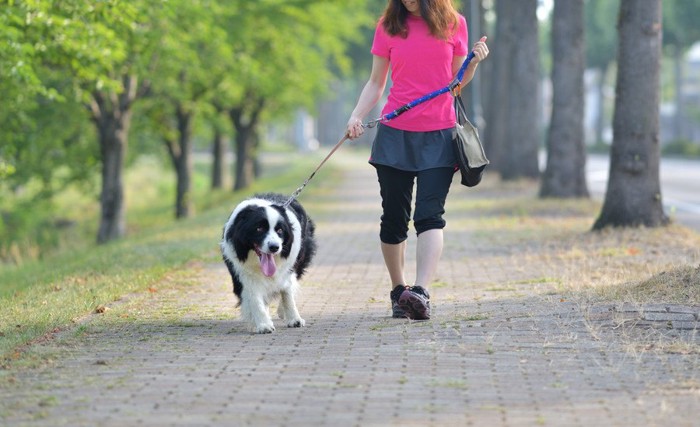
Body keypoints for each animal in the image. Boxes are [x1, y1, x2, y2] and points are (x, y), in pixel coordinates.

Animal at [220, 193, 316, 334]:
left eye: (280, 230)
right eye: (259, 228)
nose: (274, 247)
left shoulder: (287, 269)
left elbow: (287, 293)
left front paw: (294, 319)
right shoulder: (244, 273)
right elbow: (255, 298)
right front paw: (263, 324)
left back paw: (282, 312)